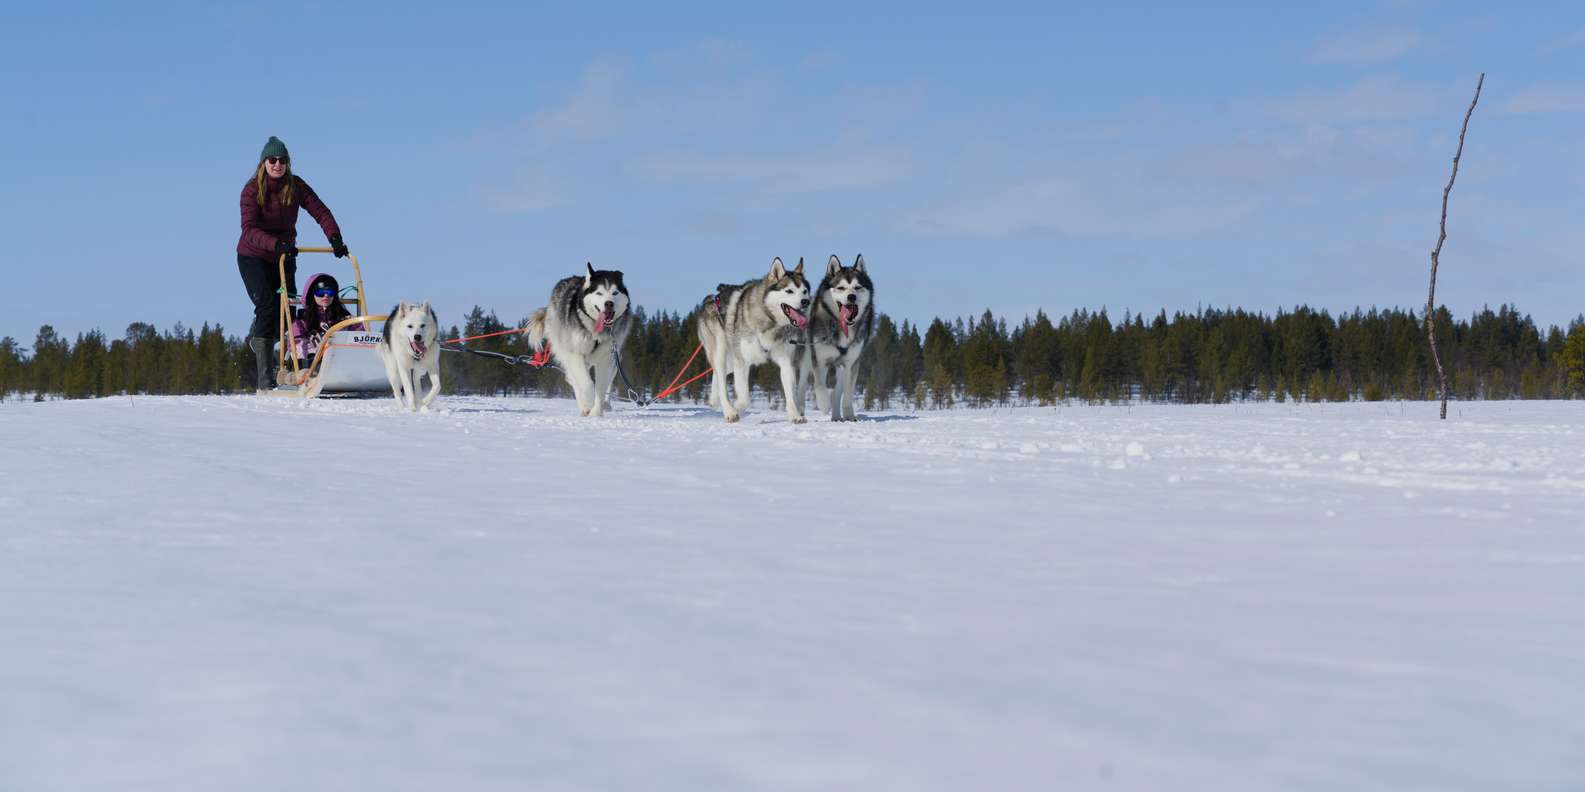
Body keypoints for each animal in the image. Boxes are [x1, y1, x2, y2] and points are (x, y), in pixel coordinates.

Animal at [525, 263, 633, 416]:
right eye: (599, 293)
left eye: (615, 293)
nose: (609, 303)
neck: (595, 332)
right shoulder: (574, 353)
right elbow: (586, 384)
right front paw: (589, 402)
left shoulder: (606, 358)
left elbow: (600, 387)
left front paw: (596, 413)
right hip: (565, 350)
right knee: (574, 379)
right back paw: (584, 406)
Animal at [697, 256, 811, 423]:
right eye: (789, 291)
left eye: (804, 291)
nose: (805, 302)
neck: (770, 321)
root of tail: (711, 298)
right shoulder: (742, 362)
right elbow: (745, 399)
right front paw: (736, 408)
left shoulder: (786, 362)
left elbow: (790, 394)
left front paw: (795, 415)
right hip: (720, 351)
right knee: (721, 377)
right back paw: (729, 411)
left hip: (730, 360)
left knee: (717, 375)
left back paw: (713, 399)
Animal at [800, 254, 875, 421]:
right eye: (840, 288)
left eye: (857, 287)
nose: (851, 296)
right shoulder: (820, 360)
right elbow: (819, 386)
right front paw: (823, 405)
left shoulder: (851, 363)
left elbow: (848, 392)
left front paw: (849, 414)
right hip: (805, 360)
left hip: (841, 367)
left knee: (838, 391)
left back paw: (836, 416)